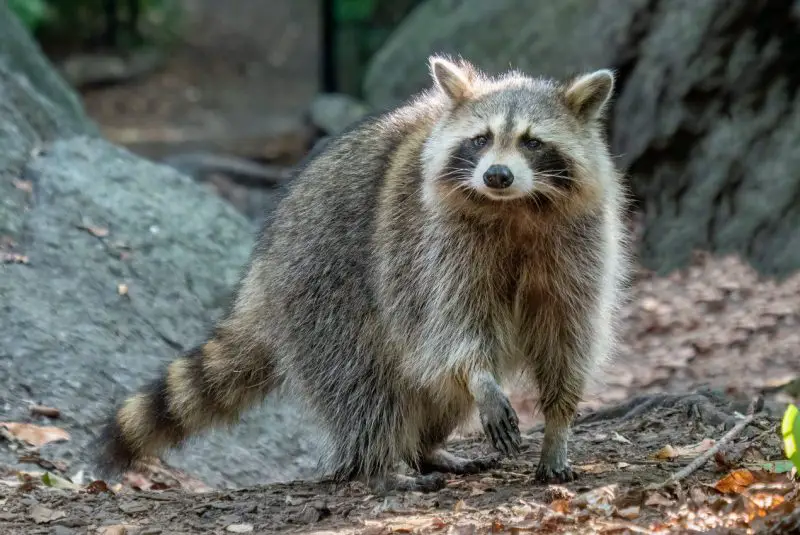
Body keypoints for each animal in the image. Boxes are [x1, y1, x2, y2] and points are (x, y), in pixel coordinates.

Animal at [95, 55, 629, 492]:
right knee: (362, 380)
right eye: (480, 140)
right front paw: (481, 378)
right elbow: (452, 325)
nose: (496, 175)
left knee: (430, 389)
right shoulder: (432, 245)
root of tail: (262, 273)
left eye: (533, 142)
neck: (515, 207)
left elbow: (568, 334)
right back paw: (377, 463)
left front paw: (558, 425)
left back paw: (426, 448)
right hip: (322, 286)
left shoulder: (579, 246)